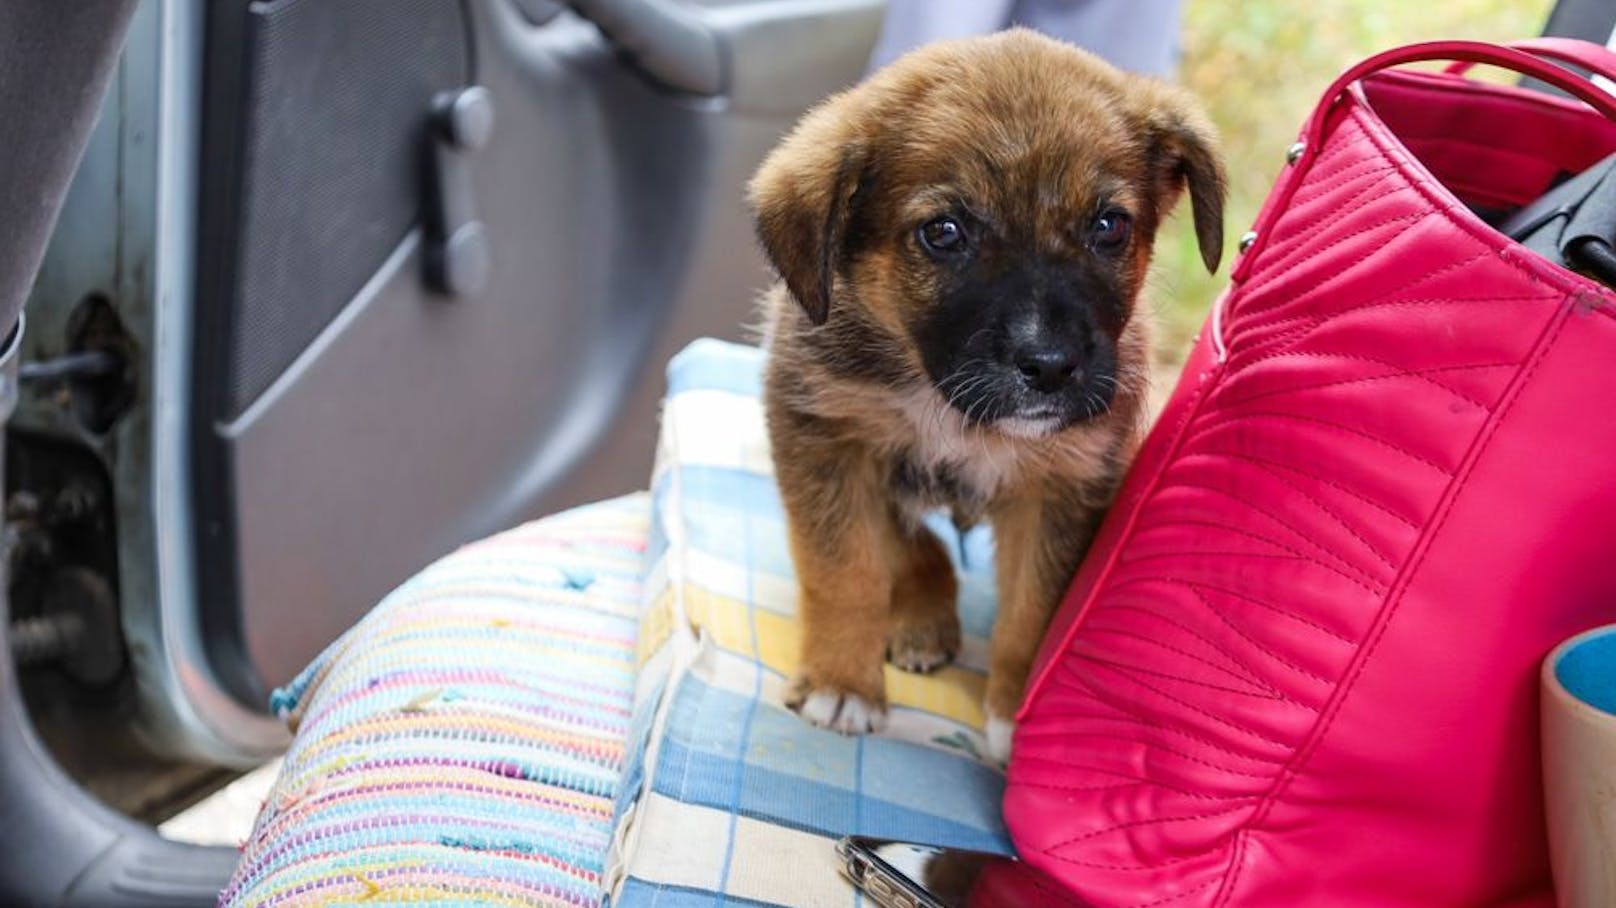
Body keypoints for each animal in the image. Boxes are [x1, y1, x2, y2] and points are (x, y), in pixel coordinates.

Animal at [746, 28, 1221, 759]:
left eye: (1109, 226)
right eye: (944, 233)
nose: (1050, 367)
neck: (945, 403)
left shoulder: (1063, 484)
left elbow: (1032, 613)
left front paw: (1012, 716)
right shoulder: (826, 437)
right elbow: (847, 570)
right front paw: (842, 683)